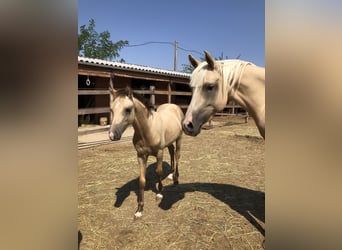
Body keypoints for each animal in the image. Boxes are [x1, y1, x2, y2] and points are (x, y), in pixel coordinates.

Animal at [109, 87, 184, 218]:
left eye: (127, 109)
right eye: (111, 109)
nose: (112, 135)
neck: (148, 130)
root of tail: (174, 106)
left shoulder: (159, 153)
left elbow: (159, 172)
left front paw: (159, 194)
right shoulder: (141, 156)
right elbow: (142, 180)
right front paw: (139, 209)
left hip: (179, 138)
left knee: (177, 155)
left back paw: (175, 179)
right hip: (169, 141)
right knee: (171, 151)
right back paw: (170, 174)